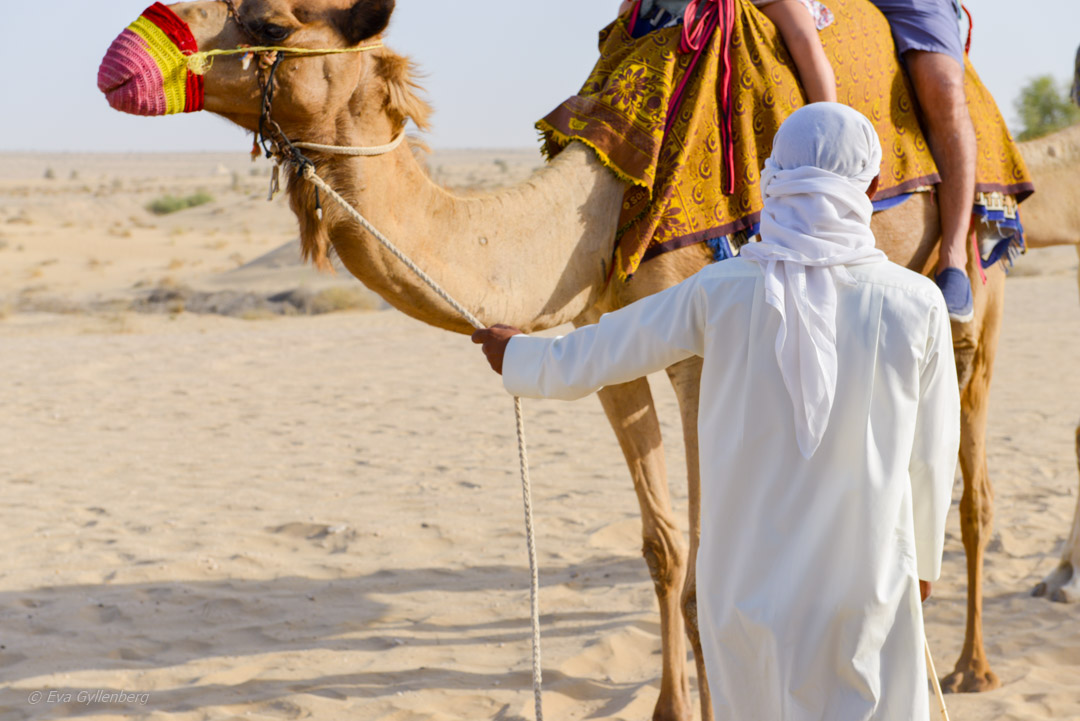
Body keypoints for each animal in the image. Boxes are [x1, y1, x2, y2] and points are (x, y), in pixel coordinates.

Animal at [97, 1, 1074, 717]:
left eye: (267, 20)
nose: (119, 58)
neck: (601, 199)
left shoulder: (702, 355)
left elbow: (707, 572)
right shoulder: (616, 344)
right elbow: (663, 549)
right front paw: (668, 709)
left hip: (979, 282)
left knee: (971, 478)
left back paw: (970, 666)